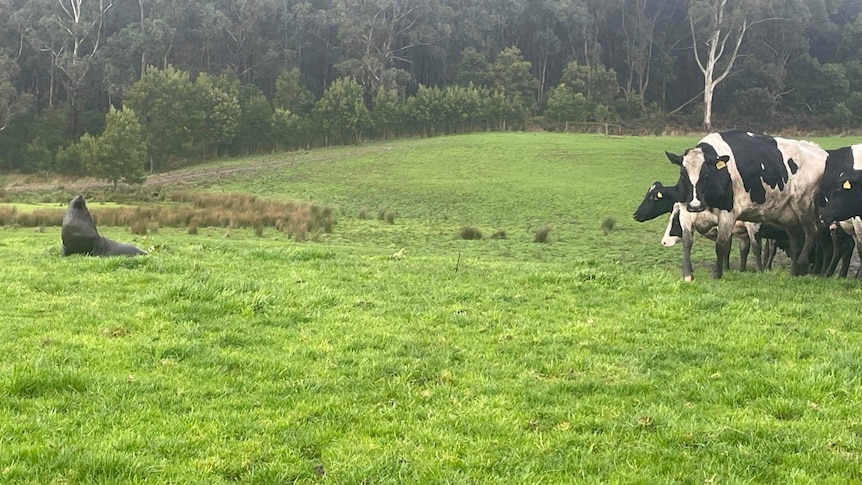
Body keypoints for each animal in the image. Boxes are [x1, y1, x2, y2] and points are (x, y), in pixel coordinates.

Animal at [664, 130, 828, 278]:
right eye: (683, 175)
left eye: (706, 174)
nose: (696, 206)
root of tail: (819, 151)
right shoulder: (686, 211)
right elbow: (687, 242)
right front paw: (687, 275)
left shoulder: (728, 214)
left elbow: (721, 245)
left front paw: (717, 274)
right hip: (788, 215)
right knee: (795, 242)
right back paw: (794, 272)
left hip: (803, 203)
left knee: (812, 231)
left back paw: (802, 263)